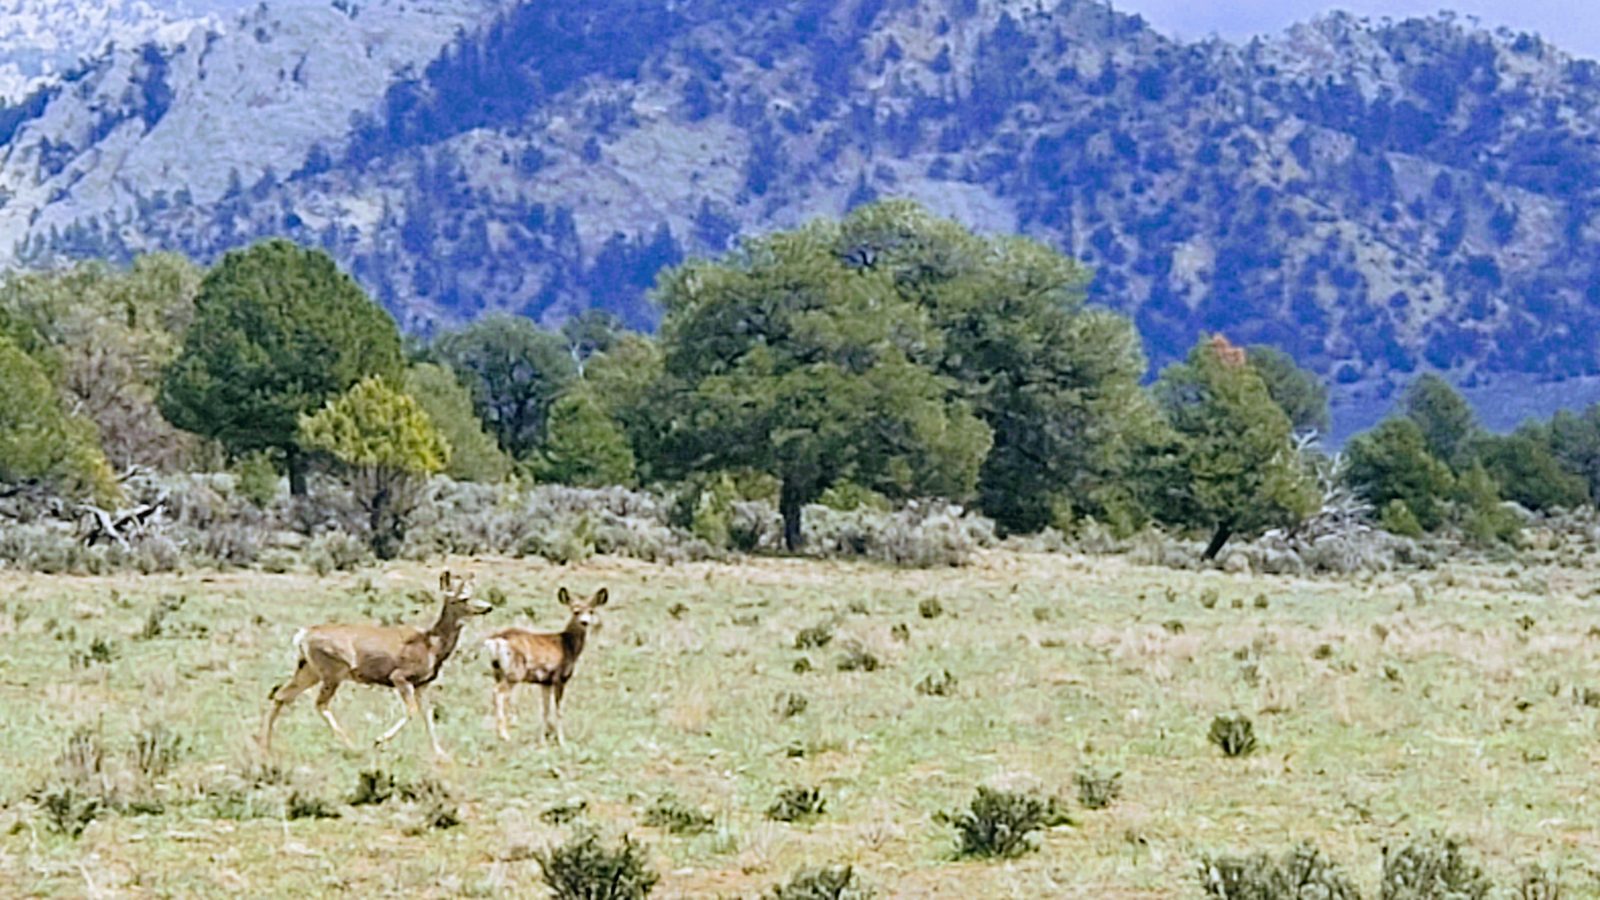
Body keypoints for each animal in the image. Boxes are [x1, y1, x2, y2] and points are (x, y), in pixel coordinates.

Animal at [260, 570, 492, 759]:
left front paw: (440, 753)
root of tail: (303, 635)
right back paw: (352, 746)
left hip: (309, 669)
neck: (432, 645)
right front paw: (379, 740)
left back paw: (266, 747)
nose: (488, 607)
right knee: (319, 704)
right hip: (333, 670)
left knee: (281, 695)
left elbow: (428, 716)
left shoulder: (422, 684)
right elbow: (412, 711)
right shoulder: (400, 676)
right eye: (462, 598)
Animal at [482, 586, 609, 745]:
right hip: (514, 672)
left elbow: (545, 709)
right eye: (575, 611)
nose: (584, 622)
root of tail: (495, 640)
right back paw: (504, 735)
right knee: (498, 692)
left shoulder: (545, 682)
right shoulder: (559, 678)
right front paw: (562, 741)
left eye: (591, 611)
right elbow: (559, 710)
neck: (568, 645)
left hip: (497, 671)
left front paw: (542, 740)